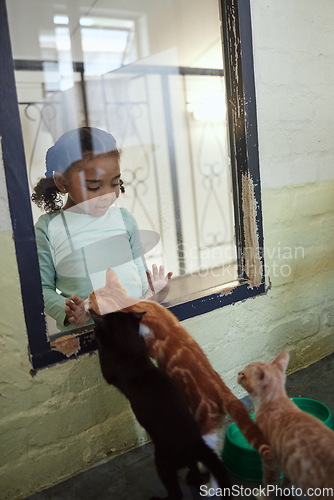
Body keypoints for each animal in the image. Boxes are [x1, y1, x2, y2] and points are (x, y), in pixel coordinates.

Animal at [89, 310, 230, 498]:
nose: (94, 325)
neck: (132, 350)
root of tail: (197, 444)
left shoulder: (109, 372)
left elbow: (103, 360)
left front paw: (96, 333)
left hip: (163, 463)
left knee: (176, 493)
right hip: (186, 460)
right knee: (194, 471)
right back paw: (193, 477)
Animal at [237, 350, 334, 498]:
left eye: (244, 374)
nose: (238, 373)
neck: (276, 400)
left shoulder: (270, 459)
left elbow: (270, 482)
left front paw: (264, 495)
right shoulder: (289, 462)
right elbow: (287, 481)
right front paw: (286, 490)